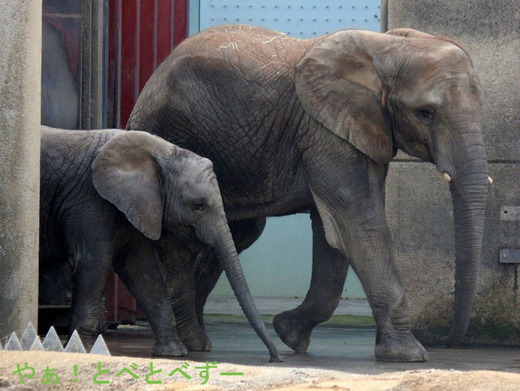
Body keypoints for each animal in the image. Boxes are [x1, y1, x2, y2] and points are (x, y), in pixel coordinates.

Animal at [40, 126, 280, 362]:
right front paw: (82, 349)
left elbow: (142, 270)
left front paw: (173, 351)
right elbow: (93, 263)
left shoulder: (137, 206)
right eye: (198, 206)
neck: (161, 153)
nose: (275, 358)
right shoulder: (89, 201)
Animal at [128, 26, 490, 362]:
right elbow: (358, 222)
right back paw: (189, 342)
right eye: (425, 113)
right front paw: (407, 354)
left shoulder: (345, 130)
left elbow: (334, 231)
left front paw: (289, 334)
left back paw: (200, 340)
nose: (449, 342)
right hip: (169, 129)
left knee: (239, 232)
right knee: (184, 240)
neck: (387, 47)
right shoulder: (326, 131)